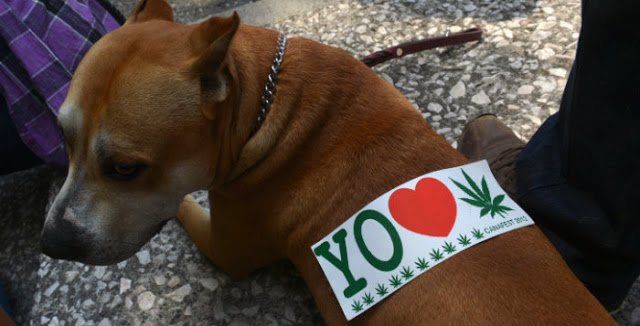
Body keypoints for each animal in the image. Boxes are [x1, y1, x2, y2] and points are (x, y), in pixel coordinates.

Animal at [41, 0, 616, 324]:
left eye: (125, 169)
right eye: (63, 138)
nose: (50, 244)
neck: (265, 102)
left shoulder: (224, 246)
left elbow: (183, 205)